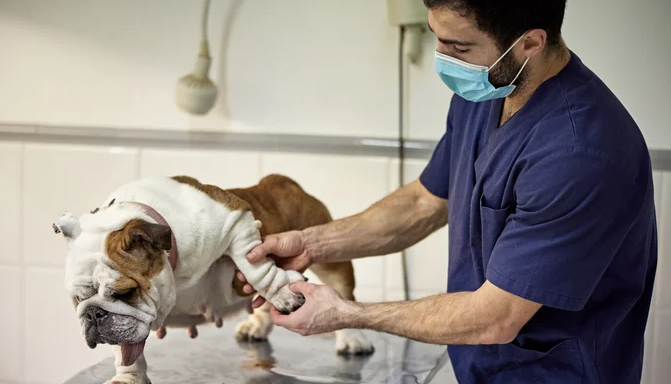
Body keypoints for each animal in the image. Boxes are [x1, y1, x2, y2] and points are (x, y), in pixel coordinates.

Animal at [53, 175, 372, 384]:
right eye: (78, 299)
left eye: (125, 293)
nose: (94, 314)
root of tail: (283, 182)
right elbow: (125, 353)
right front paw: (128, 378)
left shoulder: (237, 220)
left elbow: (253, 265)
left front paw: (282, 292)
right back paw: (257, 326)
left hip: (329, 256)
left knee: (342, 292)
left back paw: (353, 339)